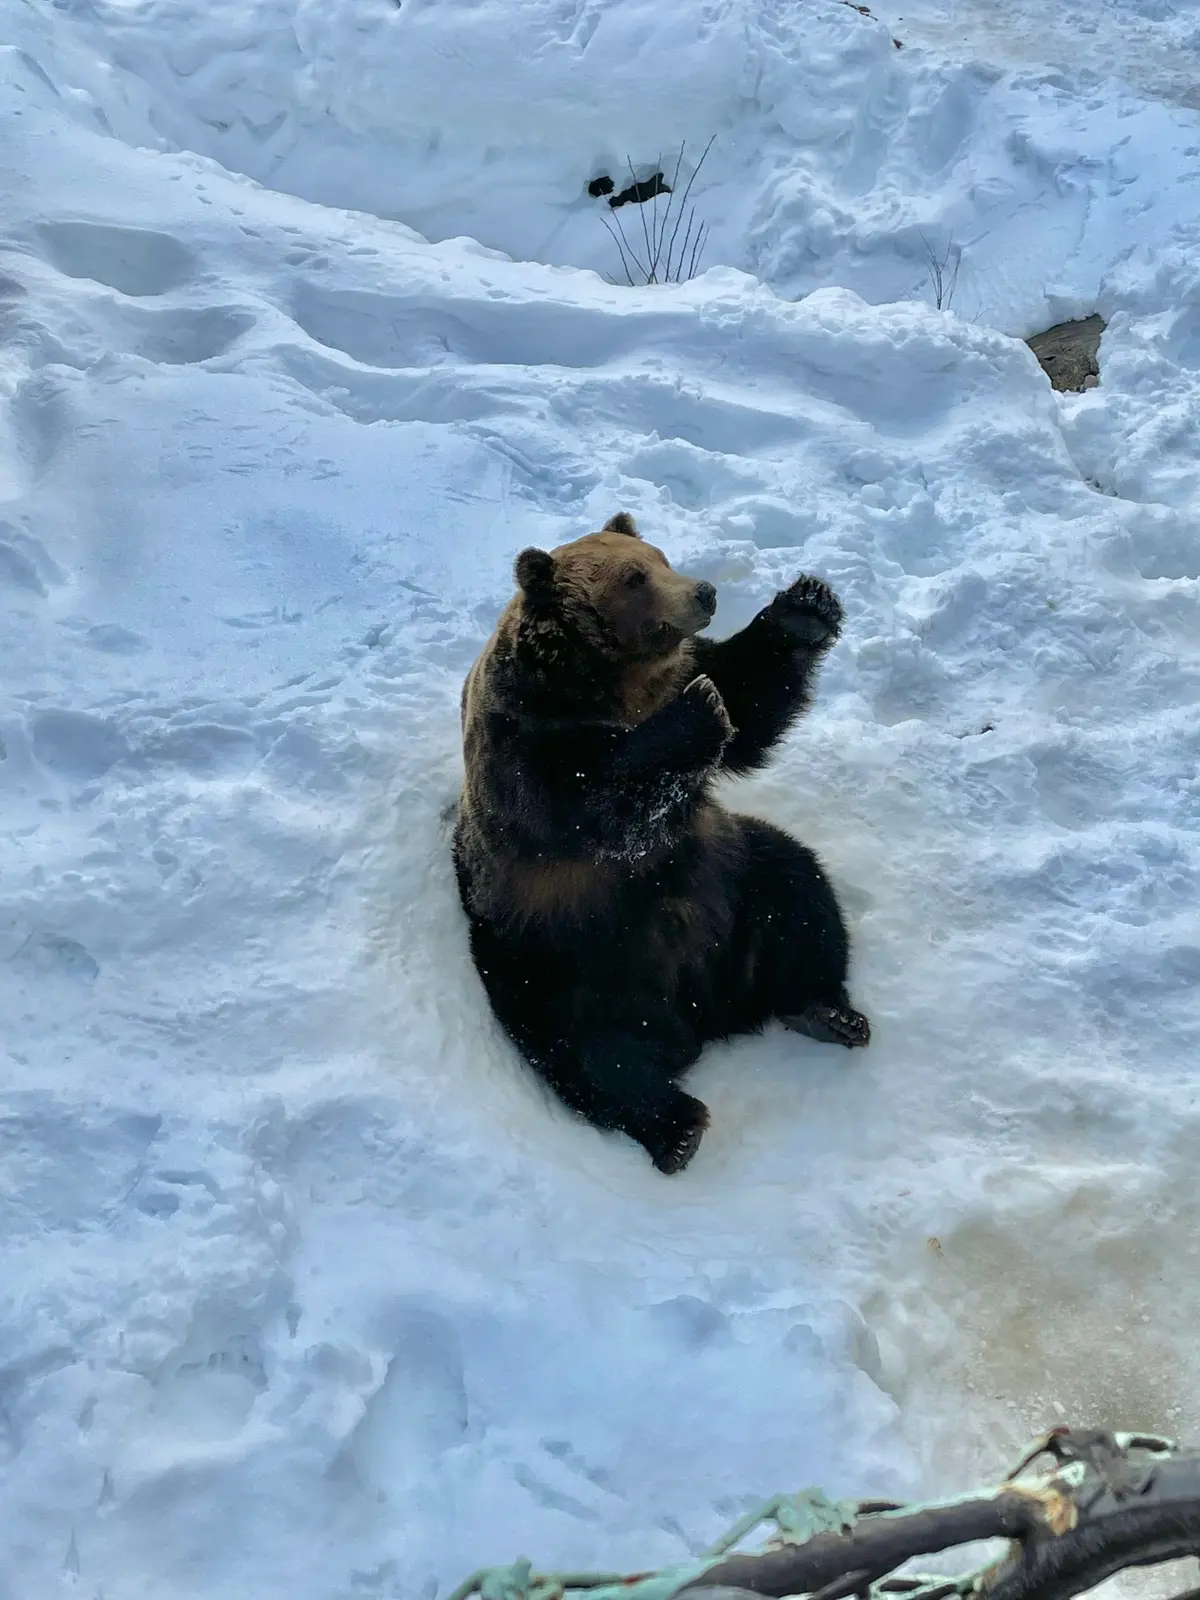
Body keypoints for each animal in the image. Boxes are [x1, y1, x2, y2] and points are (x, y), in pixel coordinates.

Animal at [454, 512, 870, 1177]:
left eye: (660, 557)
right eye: (633, 577)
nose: (704, 592)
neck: (611, 682)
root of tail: (702, 1012)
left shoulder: (684, 668)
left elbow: (748, 699)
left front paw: (805, 606)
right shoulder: (525, 736)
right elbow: (590, 802)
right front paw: (696, 714)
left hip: (733, 883)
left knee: (799, 897)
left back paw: (827, 1011)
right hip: (550, 956)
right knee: (588, 1054)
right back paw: (674, 1128)